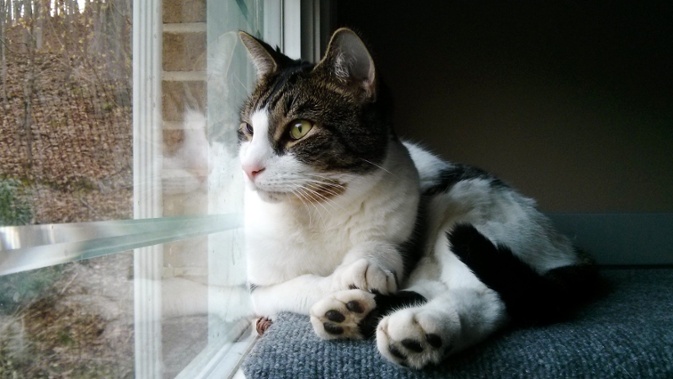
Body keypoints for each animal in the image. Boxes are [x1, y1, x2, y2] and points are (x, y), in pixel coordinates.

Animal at [235, 28, 592, 370]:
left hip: (464, 208)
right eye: (248, 130)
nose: (248, 168)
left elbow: (384, 248)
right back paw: (352, 312)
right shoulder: (255, 288)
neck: (320, 209)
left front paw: (369, 262)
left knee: (486, 295)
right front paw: (341, 282)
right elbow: (295, 286)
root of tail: (568, 249)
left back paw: (422, 329)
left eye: (299, 129)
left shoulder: (404, 227)